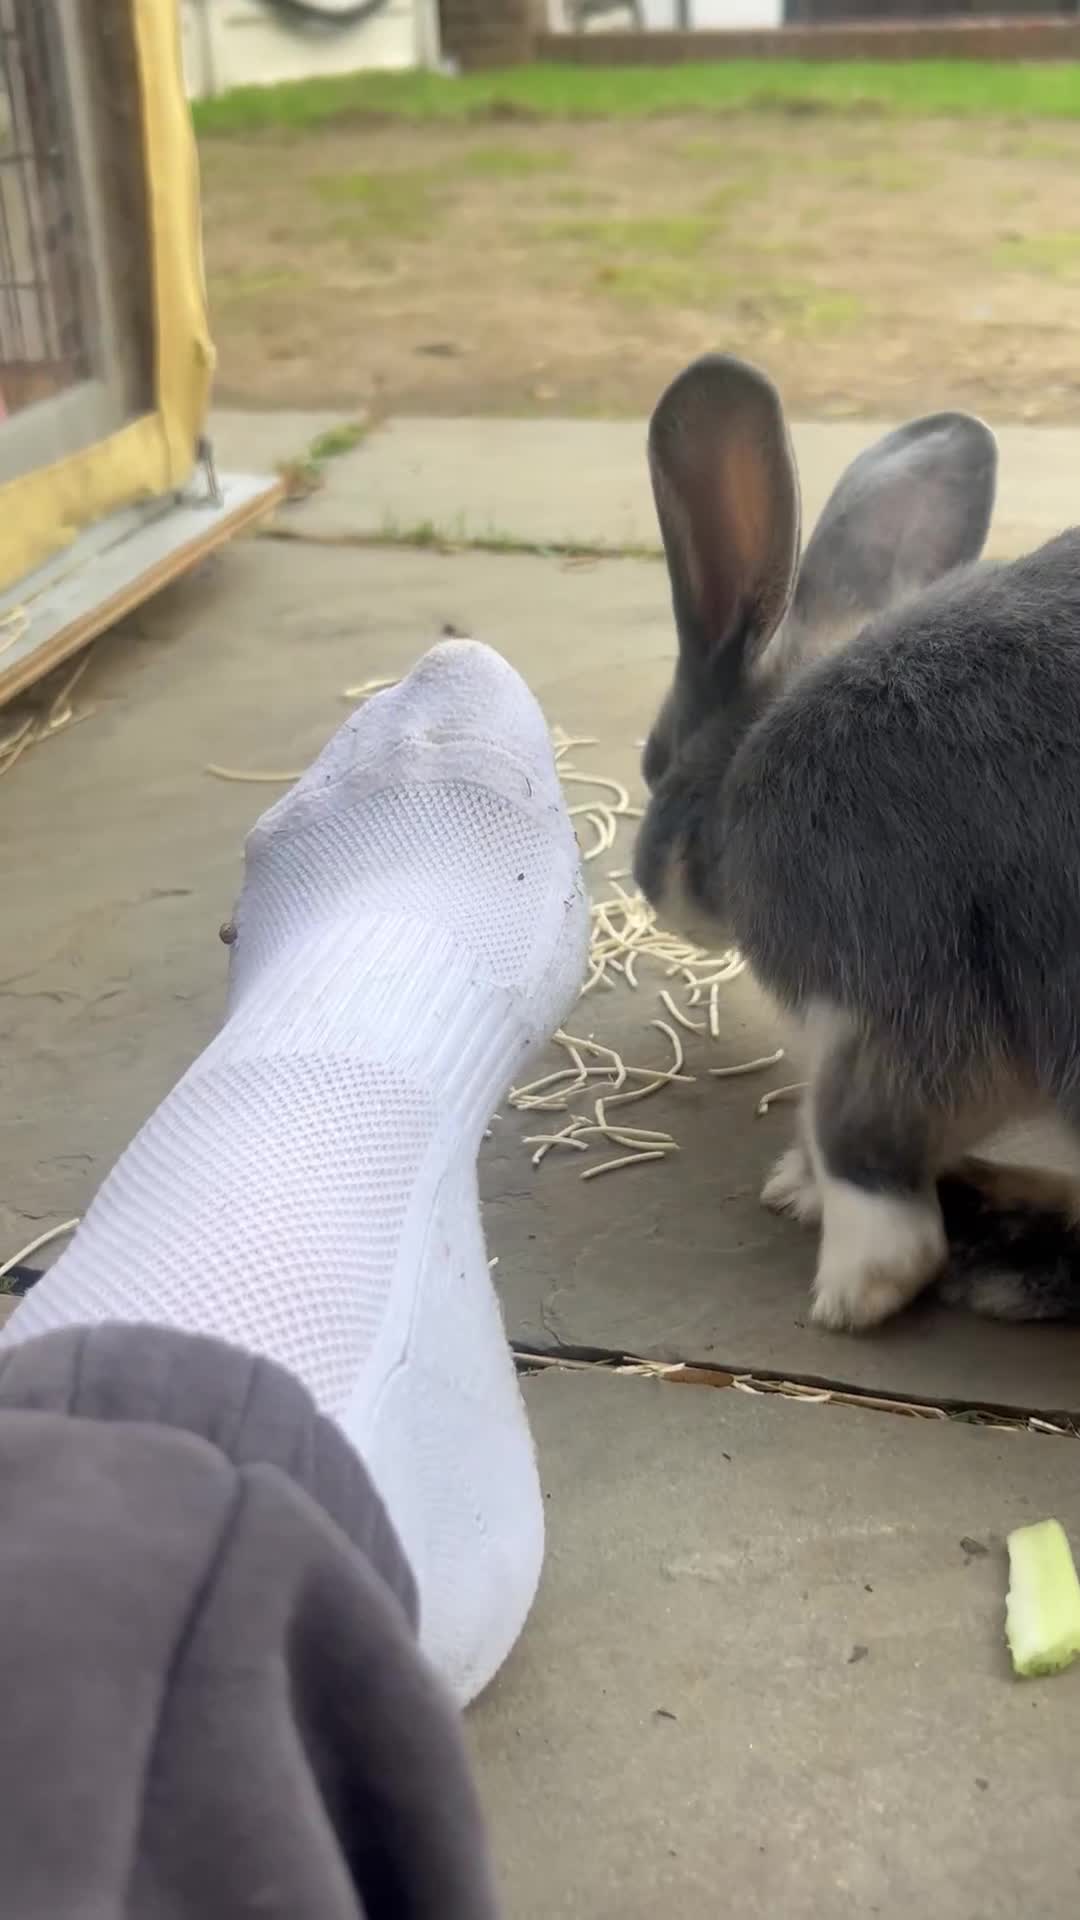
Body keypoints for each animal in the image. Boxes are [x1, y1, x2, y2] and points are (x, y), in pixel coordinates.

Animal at [633, 351, 1080, 1331]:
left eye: (653, 760)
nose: (643, 883)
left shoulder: (894, 997)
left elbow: (856, 1140)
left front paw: (854, 1287)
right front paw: (797, 1189)